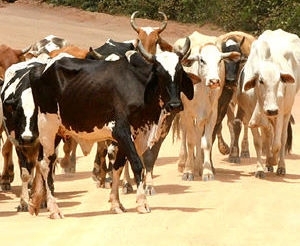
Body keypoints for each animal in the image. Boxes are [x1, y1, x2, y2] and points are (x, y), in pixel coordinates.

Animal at [27, 38, 192, 217]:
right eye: (160, 72)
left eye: (179, 72)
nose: (175, 104)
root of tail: (41, 69)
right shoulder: (121, 131)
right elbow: (136, 164)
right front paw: (142, 203)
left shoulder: (134, 135)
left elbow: (118, 166)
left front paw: (116, 203)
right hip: (47, 127)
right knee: (46, 164)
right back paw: (54, 208)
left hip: (57, 131)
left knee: (43, 162)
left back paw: (35, 203)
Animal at [241, 28, 300, 178]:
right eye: (261, 80)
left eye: (279, 80)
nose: (271, 110)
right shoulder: (250, 114)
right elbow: (259, 141)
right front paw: (260, 168)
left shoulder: (279, 113)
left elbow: (277, 144)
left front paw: (272, 161)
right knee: (267, 135)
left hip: (286, 112)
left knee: (283, 138)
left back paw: (280, 166)